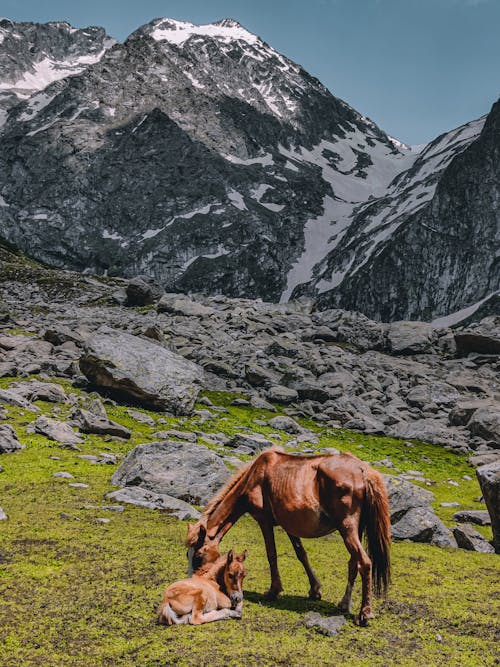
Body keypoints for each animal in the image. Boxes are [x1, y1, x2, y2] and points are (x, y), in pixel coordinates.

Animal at [187, 448, 390, 628]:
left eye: (198, 555)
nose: (193, 580)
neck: (254, 477)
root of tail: (363, 470)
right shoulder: (290, 526)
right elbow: (301, 554)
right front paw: (315, 590)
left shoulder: (264, 521)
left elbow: (272, 554)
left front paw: (273, 590)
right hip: (355, 530)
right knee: (353, 564)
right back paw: (344, 604)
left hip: (347, 528)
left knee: (364, 563)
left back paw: (365, 613)